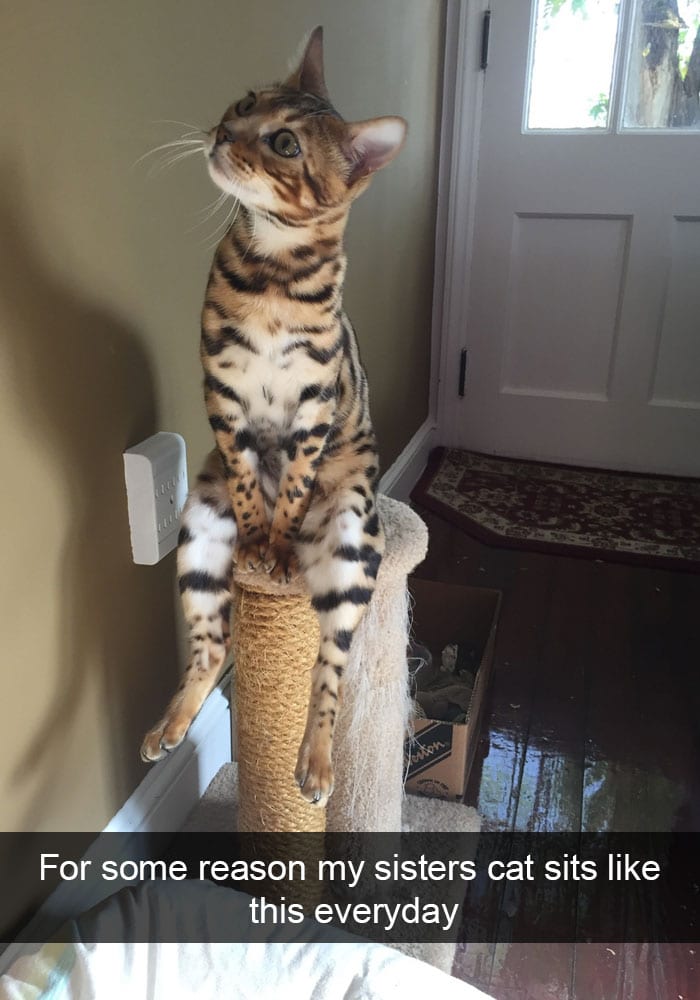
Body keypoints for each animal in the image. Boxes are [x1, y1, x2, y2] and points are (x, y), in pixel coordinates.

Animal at [140, 27, 406, 807]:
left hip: (352, 541)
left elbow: (289, 487)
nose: (224, 131)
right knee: (213, 646)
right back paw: (169, 726)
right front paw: (261, 536)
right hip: (199, 529)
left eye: (285, 142)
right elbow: (249, 475)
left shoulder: (312, 406)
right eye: (244, 103)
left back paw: (314, 764)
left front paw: (278, 543)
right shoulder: (223, 397)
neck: (272, 276)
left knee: (330, 669)